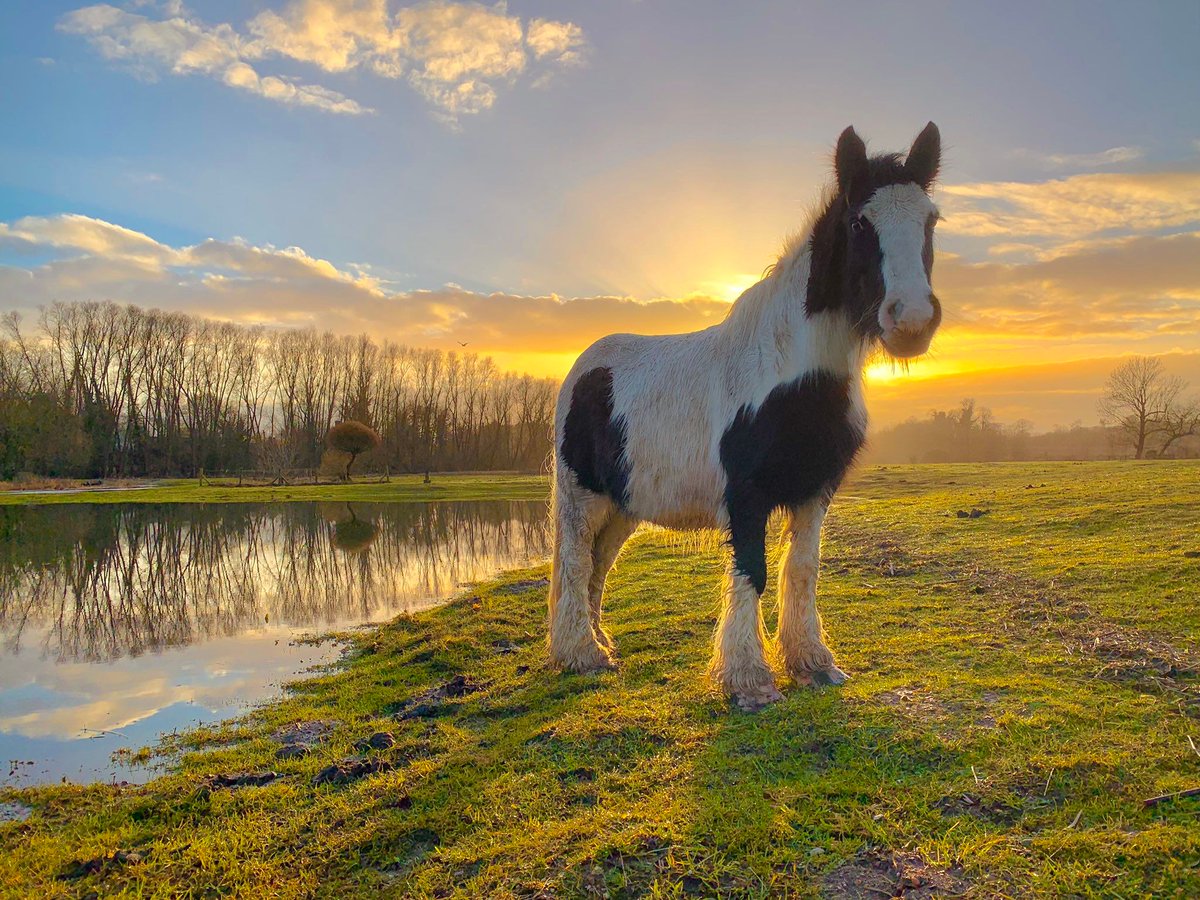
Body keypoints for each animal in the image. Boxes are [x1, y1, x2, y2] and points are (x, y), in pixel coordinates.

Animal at [548, 123, 943, 710]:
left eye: (931, 219)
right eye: (859, 222)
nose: (911, 319)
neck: (791, 374)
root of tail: (583, 369)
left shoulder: (814, 492)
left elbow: (801, 571)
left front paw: (813, 663)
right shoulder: (746, 498)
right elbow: (751, 572)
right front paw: (750, 682)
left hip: (623, 508)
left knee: (598, 565)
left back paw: (599, 644)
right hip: (582, 498)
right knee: (575, 564)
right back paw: (582, 655)